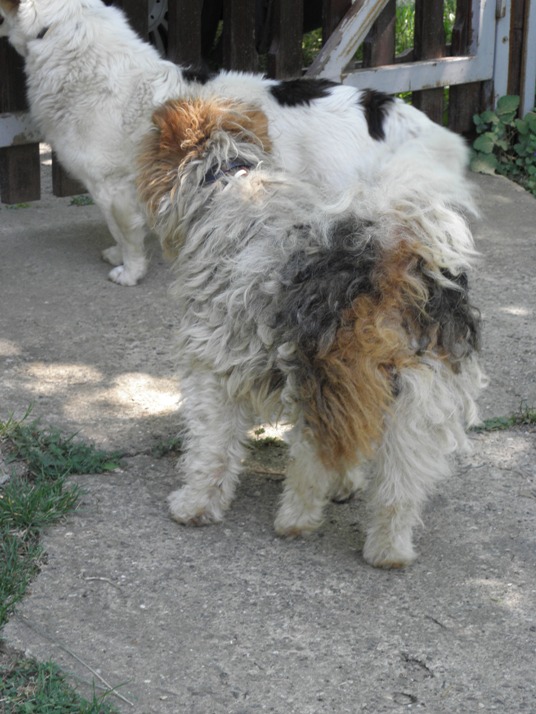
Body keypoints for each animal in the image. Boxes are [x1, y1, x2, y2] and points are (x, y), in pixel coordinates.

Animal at [0, 0, 468, 284]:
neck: (70, 44)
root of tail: (379, 103)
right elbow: (120, 235)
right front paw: (116, 255)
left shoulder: (113, 188)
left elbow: (128, 234)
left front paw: (129, 272)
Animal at [137, 98, 486, 568]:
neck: (229, 183)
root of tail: (394, 262)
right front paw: (348, 484)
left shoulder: (212, 369)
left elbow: (212, 448)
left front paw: (195, 505)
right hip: (415, 394)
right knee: (399, 488)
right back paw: (389, 551)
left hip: (316, 375)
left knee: (313, 456)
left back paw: (295, 520)